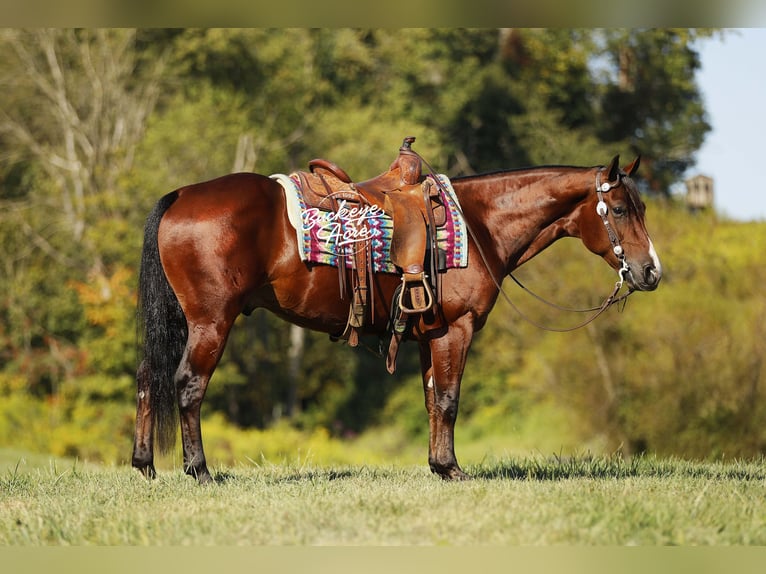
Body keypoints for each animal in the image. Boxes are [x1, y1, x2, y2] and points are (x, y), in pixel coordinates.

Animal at [131, 154, 661, 483]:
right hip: (211, 322)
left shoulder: (429, 335)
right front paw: (452, 469)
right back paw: (199, 470)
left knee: (147, 380)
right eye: (618, 208)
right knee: (188, 385)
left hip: (179, 321)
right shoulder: (456, 329)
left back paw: (144, 463)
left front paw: (437, 466)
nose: (651, 272)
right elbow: (448, 399)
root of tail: (181, 196)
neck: (480, 223)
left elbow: (431, 400)